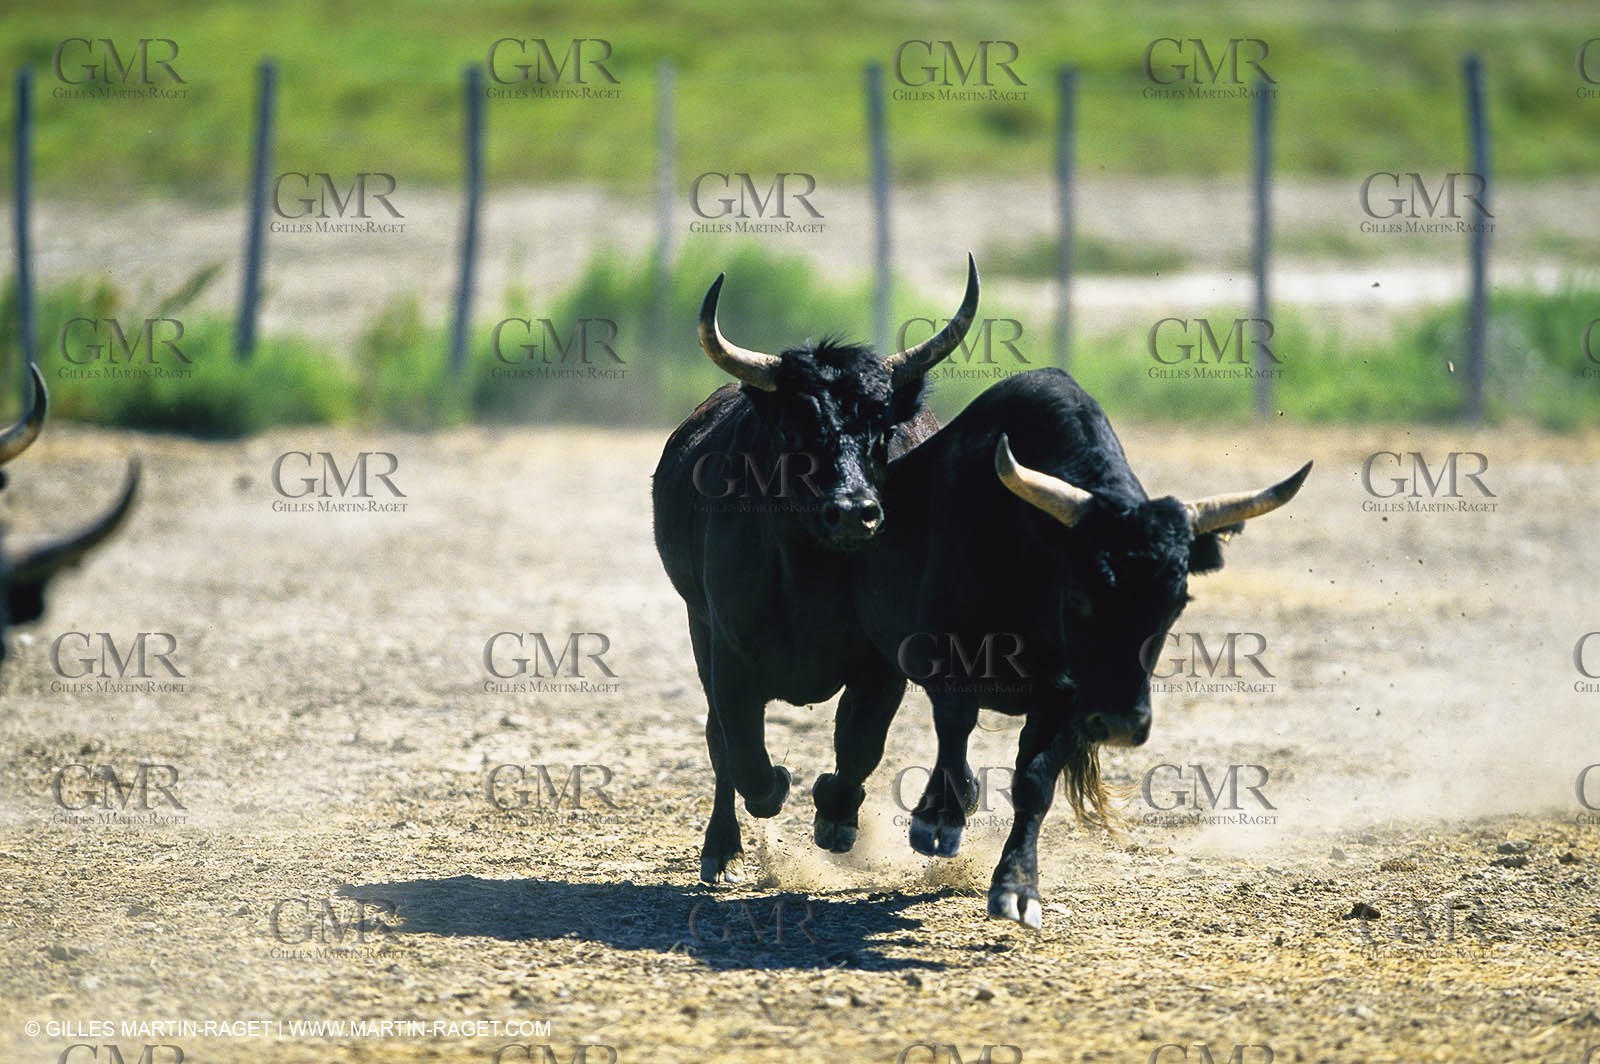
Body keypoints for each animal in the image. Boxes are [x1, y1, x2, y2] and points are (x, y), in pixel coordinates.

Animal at [653, 255, 979, 883]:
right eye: (794, 429)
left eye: (883, 429)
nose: (853, 511)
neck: (811, 580)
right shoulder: (725, 648)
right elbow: (743, 752)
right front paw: (775, 790)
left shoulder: (884, 662)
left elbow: (859, 742)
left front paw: (836, 816)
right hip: (697, 628)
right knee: (718, 741)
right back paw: (719, 847)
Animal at [819, 368, 1309, 928]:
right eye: (1079, 593)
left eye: (1178, 600)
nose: (1119, 722)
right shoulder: (951, 660)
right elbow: (954, 730)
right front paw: (940, 818)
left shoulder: (1069, 701)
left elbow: (1034, 783)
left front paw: (1017, 885)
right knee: (862, 736)